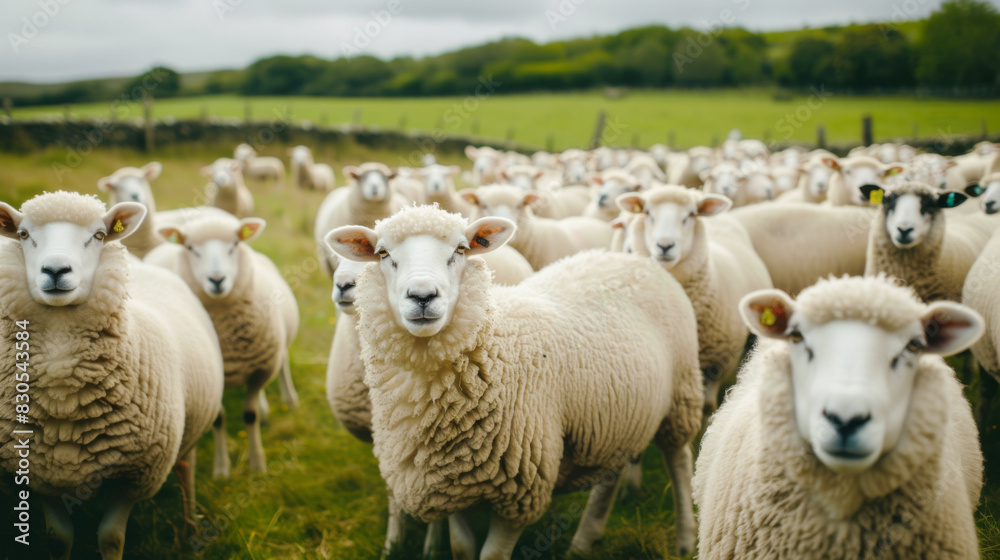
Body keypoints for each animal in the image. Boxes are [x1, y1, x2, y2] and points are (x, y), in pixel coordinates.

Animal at [0, 191, 225, 560]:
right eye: (23, 234)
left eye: (99, 235)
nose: (56, 270)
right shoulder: (38, 474)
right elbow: (58, 536)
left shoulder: (136, 476)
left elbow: (110, 537)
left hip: (190, 423)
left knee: (186, 469)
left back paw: (191, 530)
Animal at [146, 215, 299, 473]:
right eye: (190, 248)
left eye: (234, 244)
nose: (217, 280)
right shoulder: (212, 380)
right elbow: (219, 419)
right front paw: (221, 468)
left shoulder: (261, 369)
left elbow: (250, 415)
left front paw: (257, 464)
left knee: (284, 361)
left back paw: (289, 397)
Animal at [323, 204, 703, 558]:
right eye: (383, 253)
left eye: (461, 249)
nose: (422, 296)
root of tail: (631, 258)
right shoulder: (449, 484)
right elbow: (461, 546)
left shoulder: (522, 487)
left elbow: (492, 553)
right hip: (620, 417)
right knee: (612, 475)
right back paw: (584, 541)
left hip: (681, 395)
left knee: (679, 460)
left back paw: (686, 539)